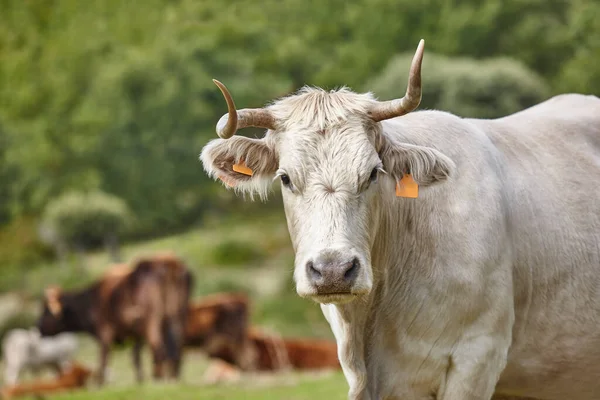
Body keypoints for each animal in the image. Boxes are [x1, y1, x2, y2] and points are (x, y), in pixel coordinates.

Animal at [36, 252, 195, 386]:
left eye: (46, 310)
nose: (38, 327)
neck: (92, 301)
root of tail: (169, 262)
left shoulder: (105, 332)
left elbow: (103, 357)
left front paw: (100, 383)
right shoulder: (135, 334)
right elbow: (135, 357)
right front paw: (140, 381)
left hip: (154, 321)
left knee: (159, 348)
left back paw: (159, 379)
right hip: (178, 315)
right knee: (176, 347)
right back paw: (173, 377)